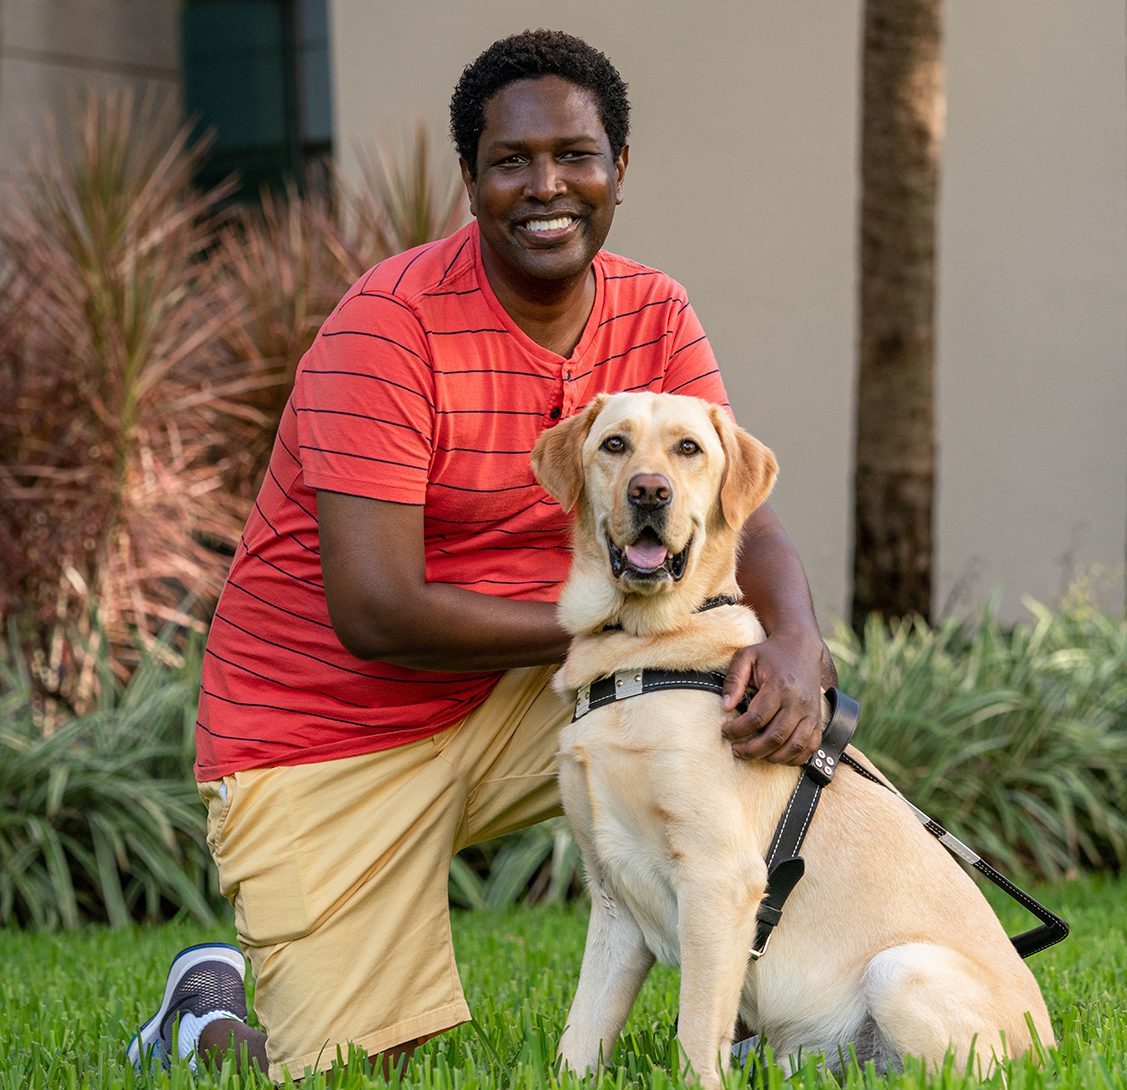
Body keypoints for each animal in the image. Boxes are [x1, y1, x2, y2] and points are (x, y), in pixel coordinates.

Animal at [531, 392, 1050, 1090]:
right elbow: (580, 1040)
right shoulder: (614, 899)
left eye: (688, 448)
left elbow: (696, 1037)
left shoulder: (720, 882)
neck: (641, 651)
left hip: (901, 969)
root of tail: (1050, 1046)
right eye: (615, 444)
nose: (649, 492)